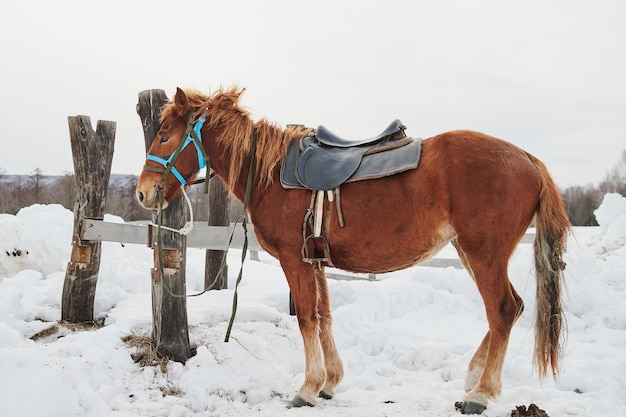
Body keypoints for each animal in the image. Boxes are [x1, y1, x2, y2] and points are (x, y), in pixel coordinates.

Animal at [135, 87, 572, 412]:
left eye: (165, 135)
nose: (143, 192)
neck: (270, 174)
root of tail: (528, 159)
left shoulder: (295, 261)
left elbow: (306, 319)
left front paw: (307, 388)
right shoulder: (316, 261)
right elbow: (324, 317)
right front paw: (330, 382)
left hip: (483, 255)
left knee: (503, 310)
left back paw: (480, 393)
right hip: (470, 253)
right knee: (511, 309)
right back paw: (473, 379)